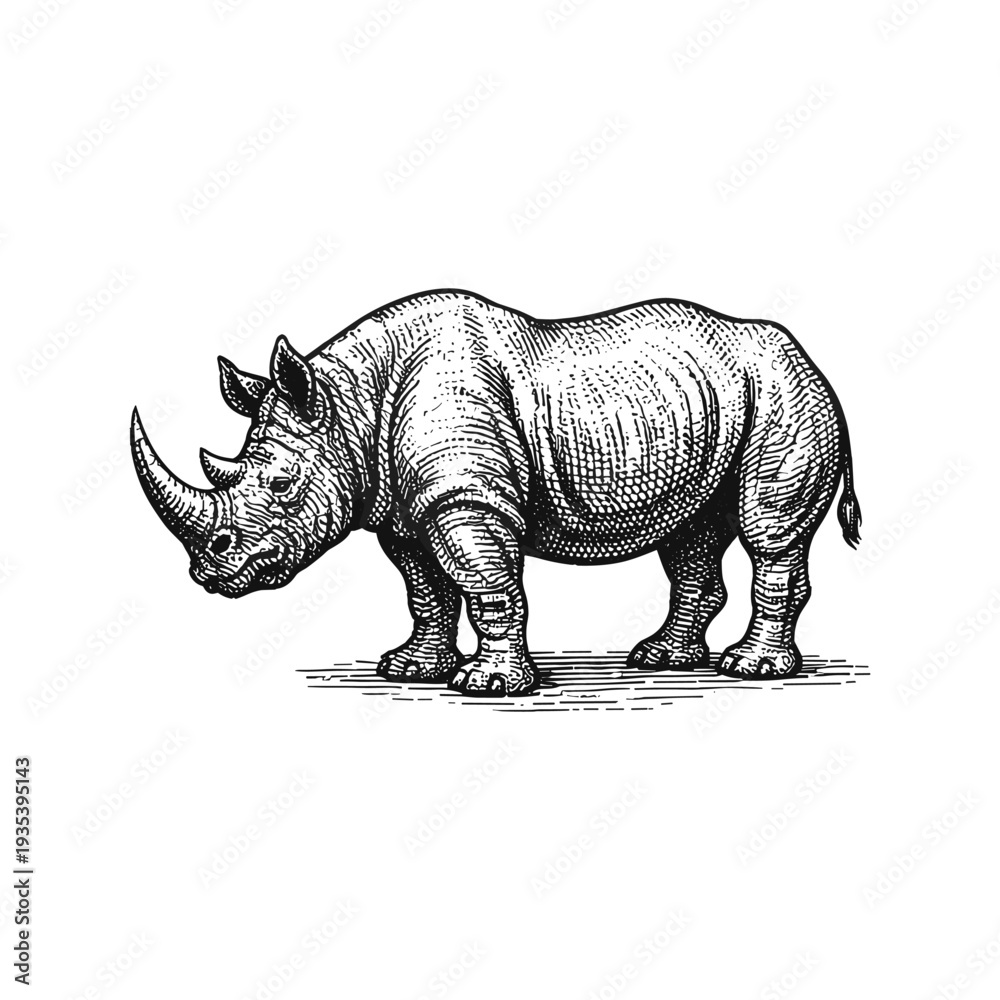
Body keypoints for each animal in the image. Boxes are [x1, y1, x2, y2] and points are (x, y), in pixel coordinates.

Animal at [131, 289, 860, 697]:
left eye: (281, 485)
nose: (207, 572)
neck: (351, 404)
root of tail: (811, 361)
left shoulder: (466, 499)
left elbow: (485, 585)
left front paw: (488, 685)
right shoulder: (403, 510)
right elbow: (425, 590)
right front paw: (409, 669)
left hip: (788, 396)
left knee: (769, 534)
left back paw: (751, 669)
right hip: (711, 403)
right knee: (693, 534)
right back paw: (663, 659)